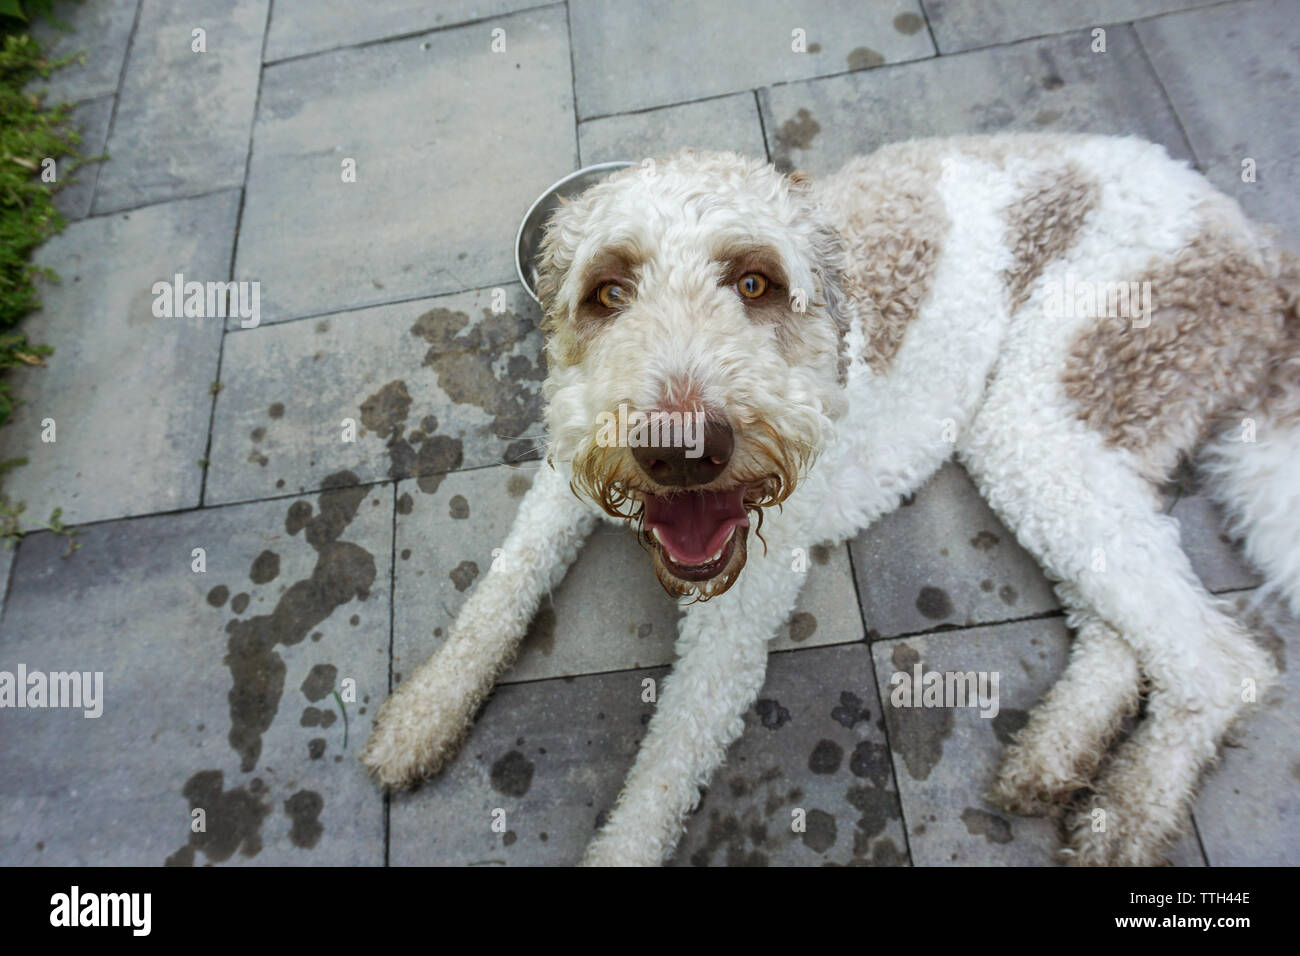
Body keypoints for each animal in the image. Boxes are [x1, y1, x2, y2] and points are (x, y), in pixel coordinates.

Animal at [364, 134, 1300, 868]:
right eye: (608, 291)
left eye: (755, 284)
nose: (682, 449)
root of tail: (1251, 237)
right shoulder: (569, 467)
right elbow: (501, 588)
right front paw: (421, 716)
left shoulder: (736, 614)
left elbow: (663, 775)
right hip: (1080, 445)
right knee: (1129, 631)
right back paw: (1054, 760)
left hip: (1056, 409)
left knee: (1223, 663)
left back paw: (1127, 818)